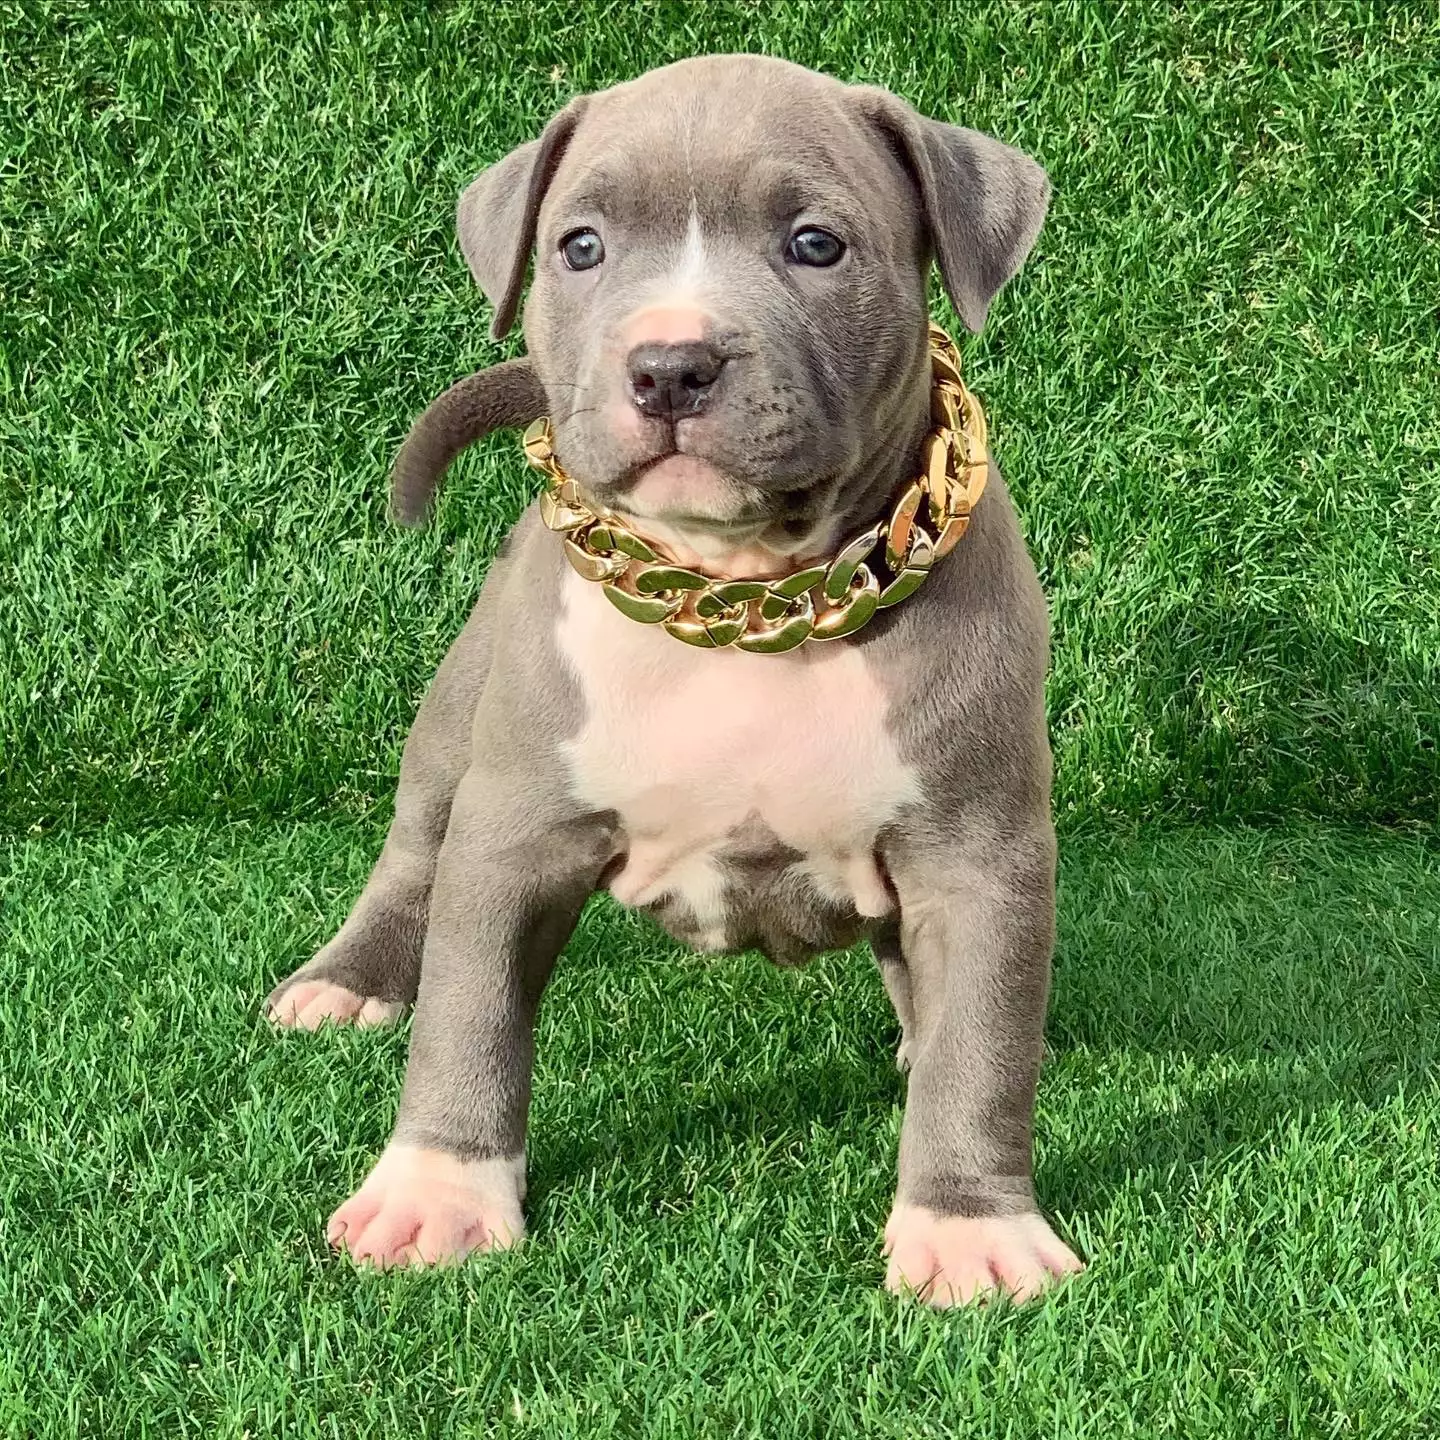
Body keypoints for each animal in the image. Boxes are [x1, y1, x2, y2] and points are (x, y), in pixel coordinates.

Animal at [267, 56, 1082, 1313]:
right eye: (581, 247)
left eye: (814, 244)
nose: (669, 363)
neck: (746, 603)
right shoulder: (512, 831)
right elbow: (469, 1013)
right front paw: (439, 1190)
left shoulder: (981, 851)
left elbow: (981, 1053)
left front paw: (966, 1228)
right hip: (456, 720)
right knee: (412, 849)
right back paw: (348, 980)